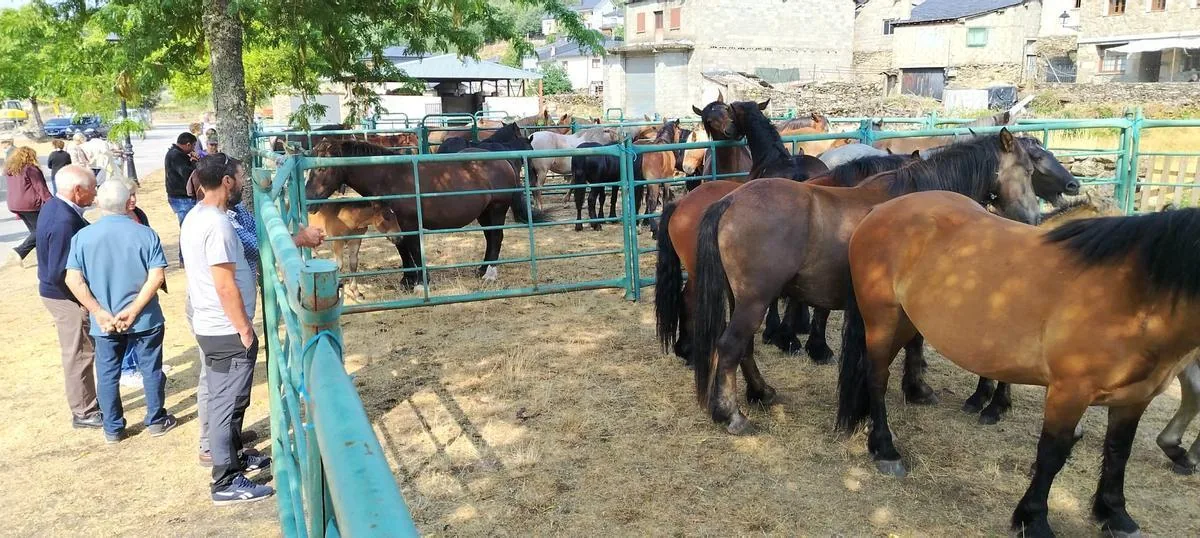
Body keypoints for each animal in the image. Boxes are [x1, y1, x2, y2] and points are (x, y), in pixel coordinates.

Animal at [305, 140, 547, 290]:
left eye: (322, 168)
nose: (308, 200)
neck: (388, 176)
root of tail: (503, 161)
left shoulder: (408, 223)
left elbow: (412, 249)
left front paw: (421, 280)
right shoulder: (395, 225)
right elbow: (403, 251)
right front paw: (407, 280)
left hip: (497, 209)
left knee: (496, 238)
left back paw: (489, 273)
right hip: (484, 214)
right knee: (490, 238)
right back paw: (481, 269)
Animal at [690, 130, 1040, 434]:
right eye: (1027, 170)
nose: (1034, 219)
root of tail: (730, 201)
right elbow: (915, 344)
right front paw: (918, 389)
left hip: (743, 300)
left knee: (744, 348)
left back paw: (762, 393)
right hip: (755, 301)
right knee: (730, 347)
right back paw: (733, 416)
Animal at [836, 193, 1200, 538]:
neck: (1135, 296)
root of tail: (881, 209)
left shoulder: (1135, 398)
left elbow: (1118, 452)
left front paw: (1115, 515)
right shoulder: (1068, 393)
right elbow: (1052, 455)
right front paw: (1033, 519)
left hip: (908, 322)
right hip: (883, 318)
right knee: (877, 378)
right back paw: (885, 449)